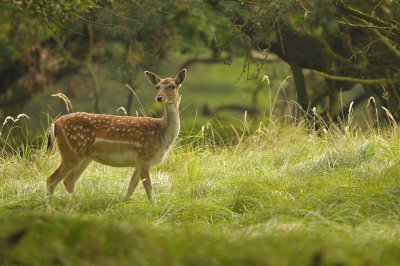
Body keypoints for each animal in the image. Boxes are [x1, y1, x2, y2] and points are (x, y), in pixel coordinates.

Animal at [46, 68, 187, 200]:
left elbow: (131, 187)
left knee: (69, 181)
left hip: (85, 157)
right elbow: (148, 188)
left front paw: (123, 201)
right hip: (71, 152)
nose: (159, 97)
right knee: (52, 179)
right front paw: (152, 205)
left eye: (173, 86)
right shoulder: (144, 157)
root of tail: (56, 123)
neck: (162, 134)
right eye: (157, 86)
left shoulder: (139, 162)